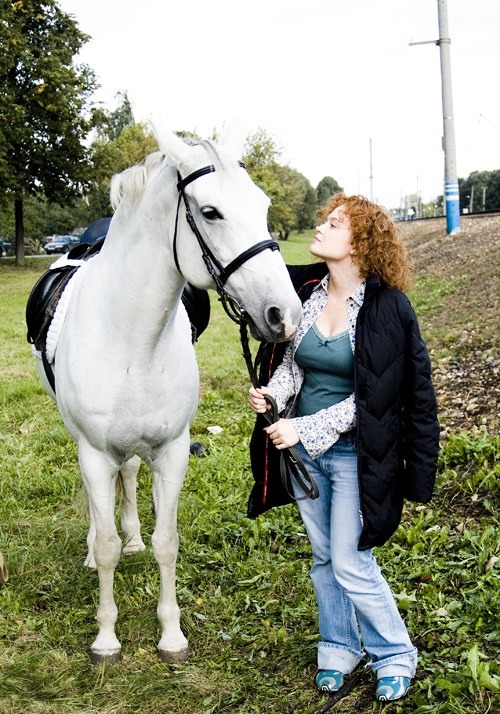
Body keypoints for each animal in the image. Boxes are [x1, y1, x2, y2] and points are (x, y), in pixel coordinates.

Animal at [34, 126, 300, 660]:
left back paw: (132, 537)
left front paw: (171, 633)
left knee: (131, 475)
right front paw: (107, 638)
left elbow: (167, 542)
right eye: (211, 212)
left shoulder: (173, 452)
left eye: (263, 205)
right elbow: (108, 545)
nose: (285, 315)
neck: (131, 337)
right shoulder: (94, 454)